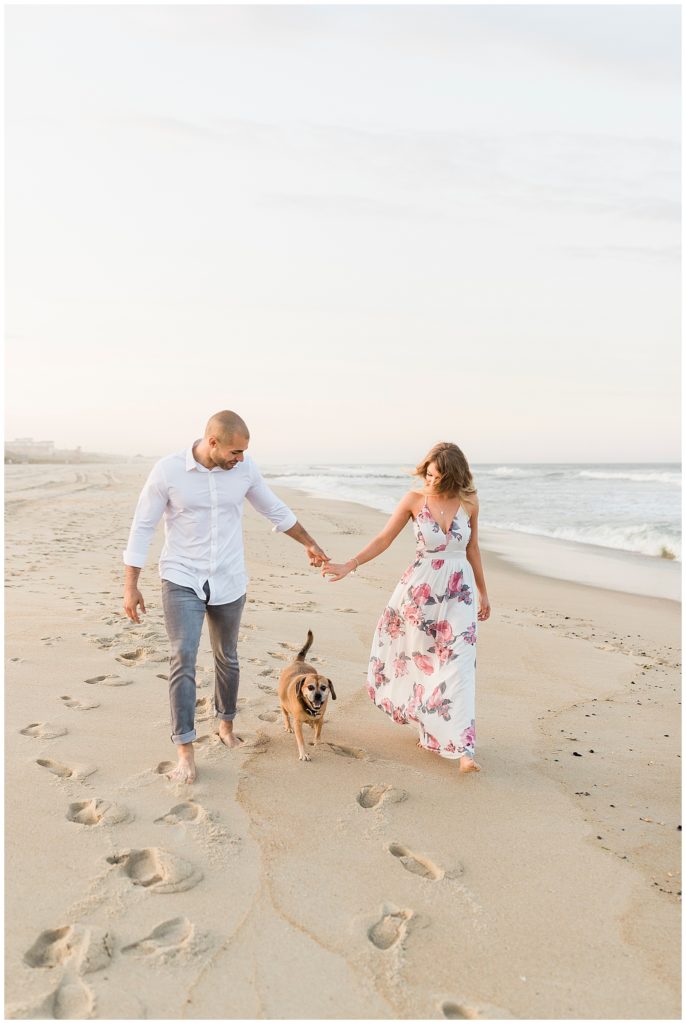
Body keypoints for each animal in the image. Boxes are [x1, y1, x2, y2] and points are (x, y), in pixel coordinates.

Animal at [278, 626, 337, 765]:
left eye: (323, 687)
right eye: (310, 687)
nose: (318, 696)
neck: (309, 708)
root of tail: (298, 661)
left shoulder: (320, 719)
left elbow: (318, 733)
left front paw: (317, 743)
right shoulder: (298, 723)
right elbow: (301, 740)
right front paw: (304, 754)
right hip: (283, 703)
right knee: (285, 715)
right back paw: (288, 726)